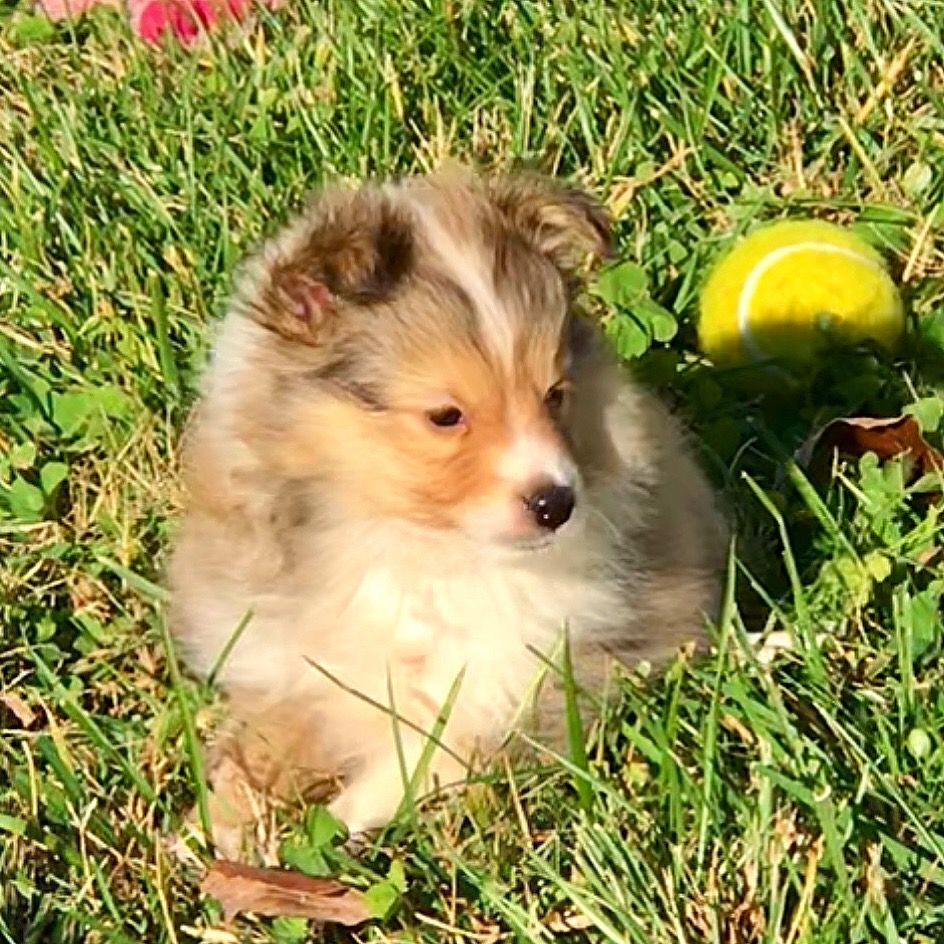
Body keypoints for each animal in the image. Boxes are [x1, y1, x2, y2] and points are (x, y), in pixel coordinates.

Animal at [170, 166, 728, 844]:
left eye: (554, 394)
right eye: (445, 415)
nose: (556, 503)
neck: (411, 545)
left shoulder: (518, 675)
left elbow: (434, 750)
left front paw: (346, 816)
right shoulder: (288, 658)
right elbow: (271, 733)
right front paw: (215, 826)